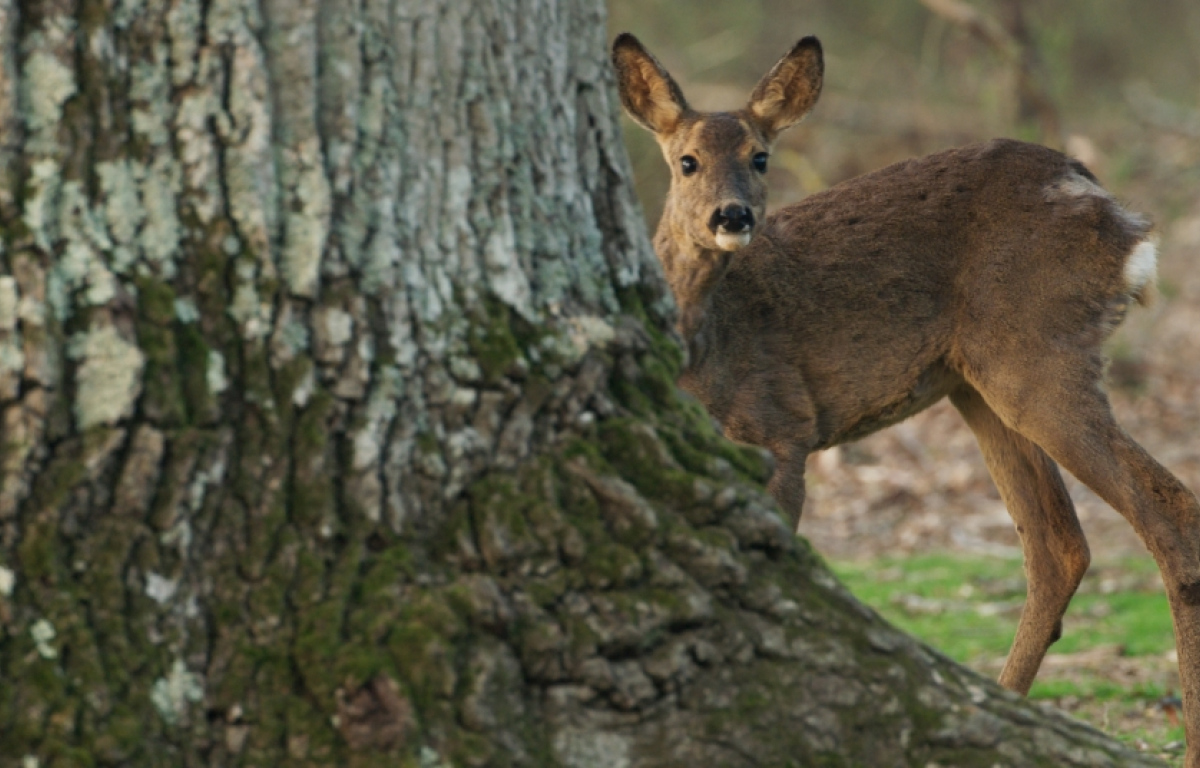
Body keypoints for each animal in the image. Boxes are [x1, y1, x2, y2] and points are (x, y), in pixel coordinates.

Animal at [614, 31, 1200, 763]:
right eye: (686, 161)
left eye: (760, 156)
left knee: (1166, 510)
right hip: (977, 381)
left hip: (1037, 354)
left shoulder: (785, 426)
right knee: (1058, 545)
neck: (704, 344)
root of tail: (1123, 223)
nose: (733, 215)